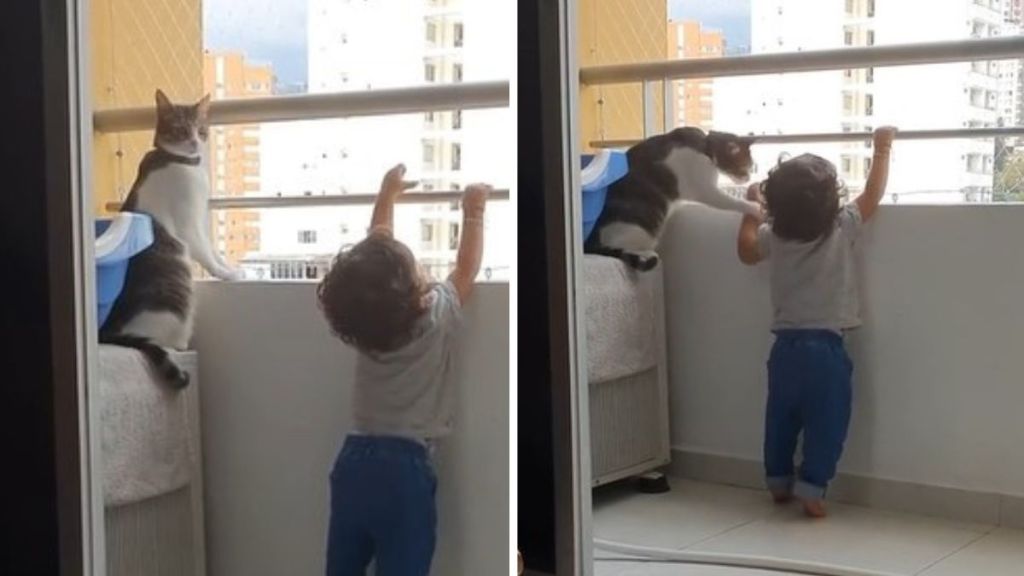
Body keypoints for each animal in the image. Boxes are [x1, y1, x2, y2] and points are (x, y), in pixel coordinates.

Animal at [99, 88, 243, 385]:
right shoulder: (189, 226)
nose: (194, 141)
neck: (181, 163)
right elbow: (207, 255)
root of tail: (110, 332)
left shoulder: (200, 218)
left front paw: (229, 268)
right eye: (180, 128)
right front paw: (226, 274)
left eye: (200, 129)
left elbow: (214, 252)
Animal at [585, 126, 761, 270]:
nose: (748, 178)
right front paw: (755, 208)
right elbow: (731, 201)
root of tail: (589, 243)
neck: (705, 147)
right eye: (745, 167)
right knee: (622, 249)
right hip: (640, 229)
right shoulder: (705, 189)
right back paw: (647, 254)